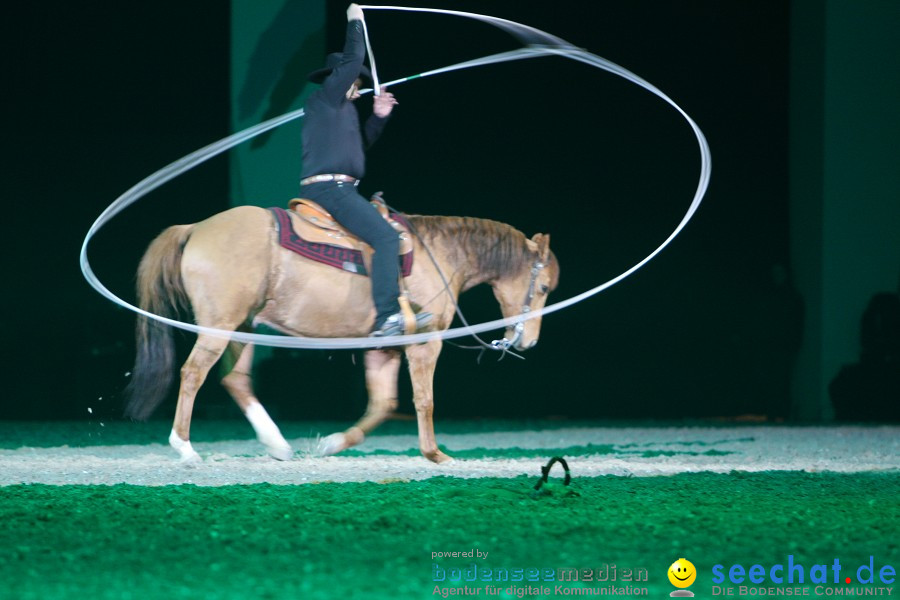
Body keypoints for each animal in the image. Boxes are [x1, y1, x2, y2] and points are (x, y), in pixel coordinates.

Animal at [123, 205, 560, 464]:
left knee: (235, 379)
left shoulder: (384, 348)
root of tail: (195, 227)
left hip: (243, 326)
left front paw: (332, 443)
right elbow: (424, 400)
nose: (528, 341)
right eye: (542, 287)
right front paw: (435, 454)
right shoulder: (425, 343)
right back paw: (185, 447)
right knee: (193, 373)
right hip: (218, 326)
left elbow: (383, 404)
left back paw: (278, 444)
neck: (440, 254)